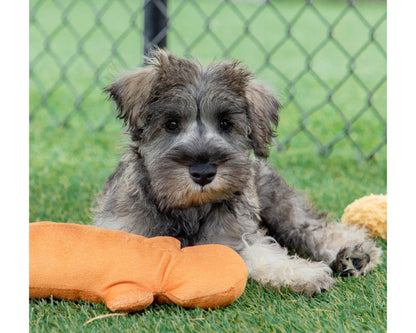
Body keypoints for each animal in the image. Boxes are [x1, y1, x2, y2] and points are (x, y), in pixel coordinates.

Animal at [92, 48, 382, 294]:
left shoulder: (233, 236)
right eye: (171, 124)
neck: (189, 208)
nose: (203, 172)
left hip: (279, 204)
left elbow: (262, 254)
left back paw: (357, 255)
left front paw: (302, 274)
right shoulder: (124, 227)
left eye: (226, 123)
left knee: (315, 229)